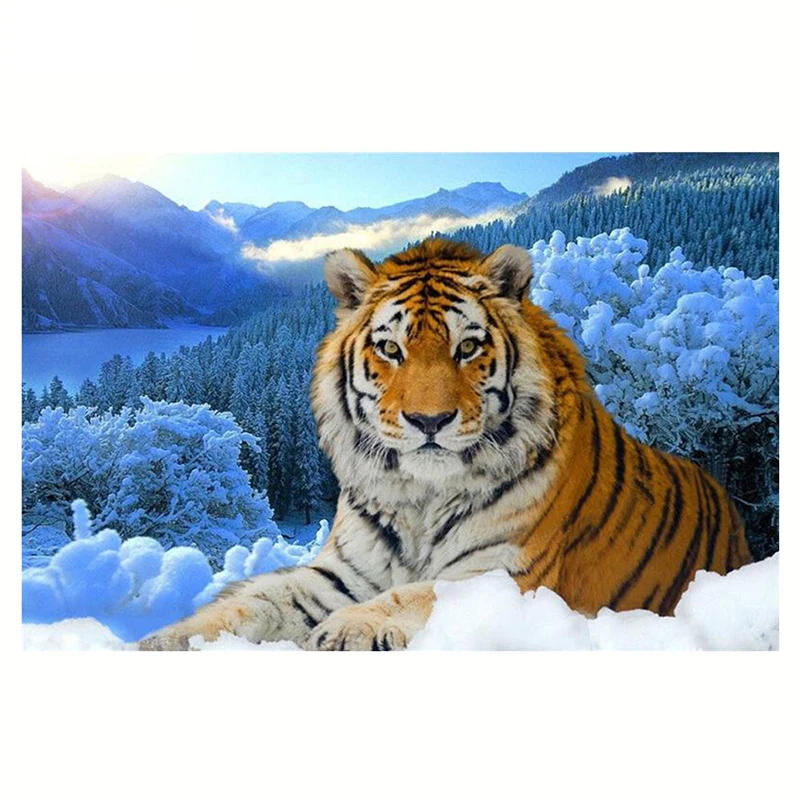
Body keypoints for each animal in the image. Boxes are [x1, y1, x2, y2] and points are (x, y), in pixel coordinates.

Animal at [139, 237, 752, 651]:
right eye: (390, 349)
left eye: (468, 348)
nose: (428, 420)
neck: (421, 496)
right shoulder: (342, 574)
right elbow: (252, 602)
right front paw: (161, 640)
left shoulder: (505, 574)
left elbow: (418, 593)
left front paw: (349, 628)